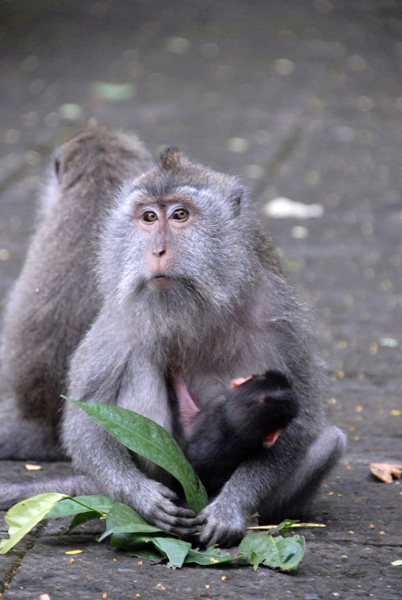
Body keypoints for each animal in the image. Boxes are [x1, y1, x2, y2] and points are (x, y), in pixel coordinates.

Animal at [0, 129, 346, 548]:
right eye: (149, 217)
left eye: (180, 215)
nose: (158, 250)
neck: (195, 303)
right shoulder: (122, 314)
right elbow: (85, 423)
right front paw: (142, 497)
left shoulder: (279, 315)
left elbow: (303, 421)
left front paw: (232, 509)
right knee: (139, 367)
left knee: (329, 442)